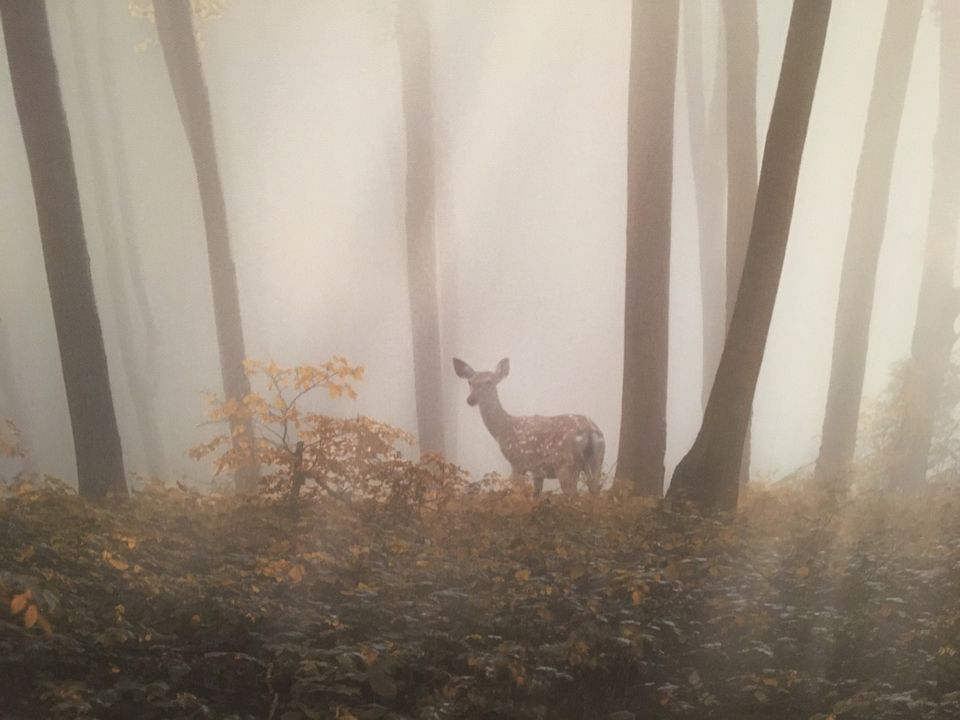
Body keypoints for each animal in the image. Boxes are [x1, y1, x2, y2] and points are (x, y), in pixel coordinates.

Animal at [454, 358, 604, 498]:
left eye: (489, 382)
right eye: (470, 382)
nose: (470, 400)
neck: (503, 429)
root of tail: (590, 430)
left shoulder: (517, 462)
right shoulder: (537, 470)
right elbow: (535, 495)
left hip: (566, 464)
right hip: (597, 460)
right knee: (595, 491)